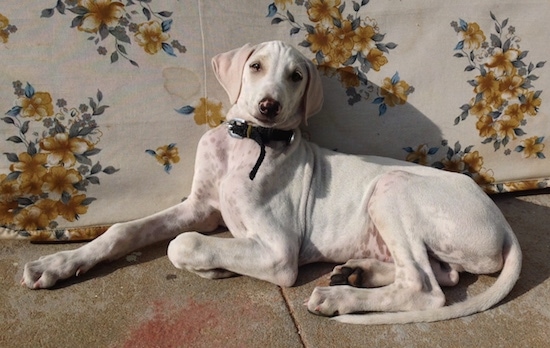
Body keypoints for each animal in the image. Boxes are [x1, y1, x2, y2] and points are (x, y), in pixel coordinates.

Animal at [20, 40, 520, 324]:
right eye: (255, 66)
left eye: (296, 76)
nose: (267, 107)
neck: (248, 143)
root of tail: (502, 221)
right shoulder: (199, 207)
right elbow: (126, 231)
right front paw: (57, 264)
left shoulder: (279, 253)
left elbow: (182, 243)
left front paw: (213, 265)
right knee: (442, 273)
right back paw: (356, 272)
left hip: (392, 188)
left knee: (426, 288)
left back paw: (339, 297)